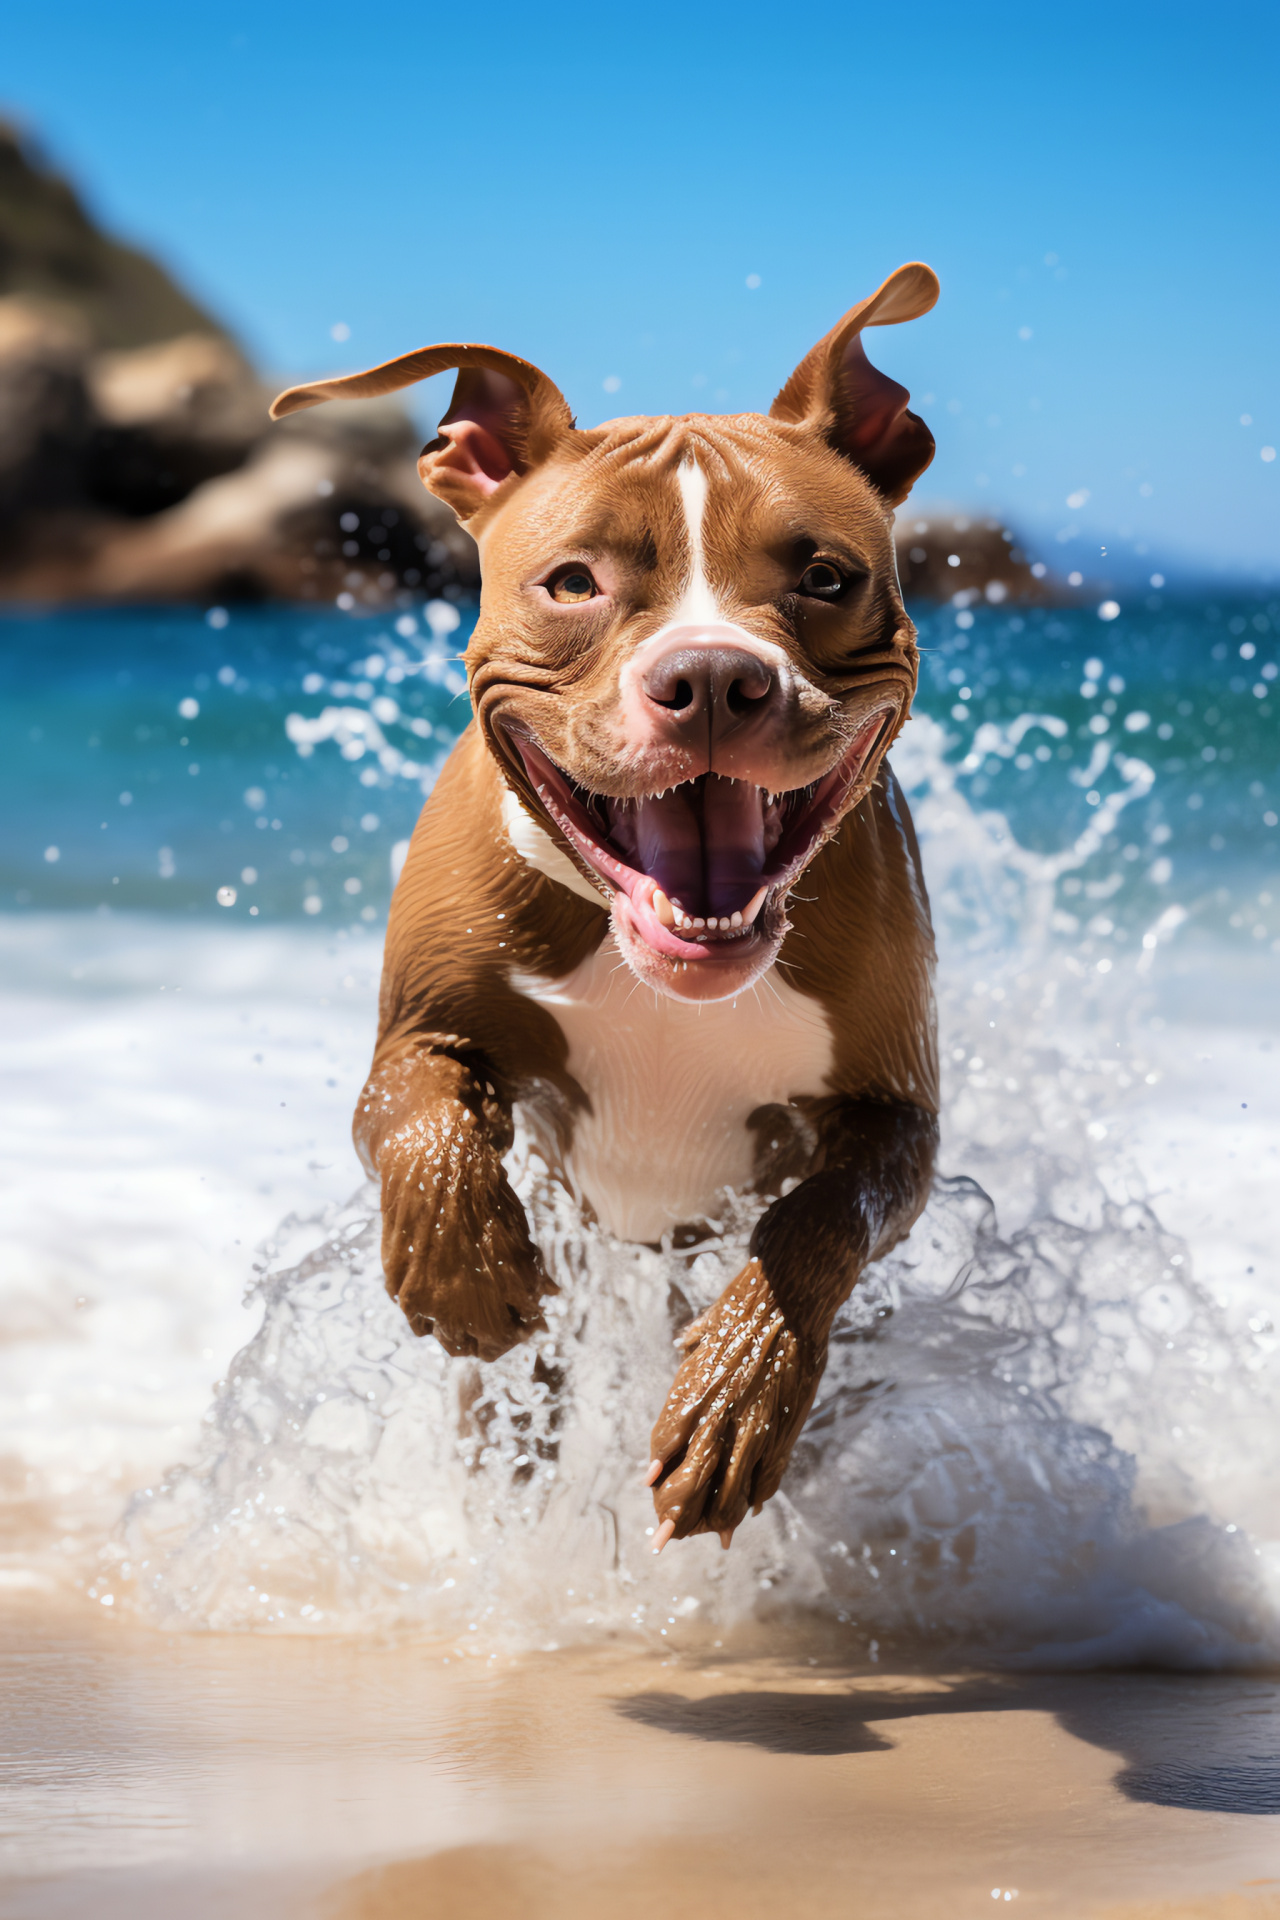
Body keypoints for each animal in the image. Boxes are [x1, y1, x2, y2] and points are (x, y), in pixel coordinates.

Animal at [272, 266, 940, 1559]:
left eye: (823, 577)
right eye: (573, 582)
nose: (714, 678)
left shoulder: (894, 1113)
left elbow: (820, 1217)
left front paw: (736, 1389)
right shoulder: (419, 1027)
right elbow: (419, 1110)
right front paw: (463, 1265)